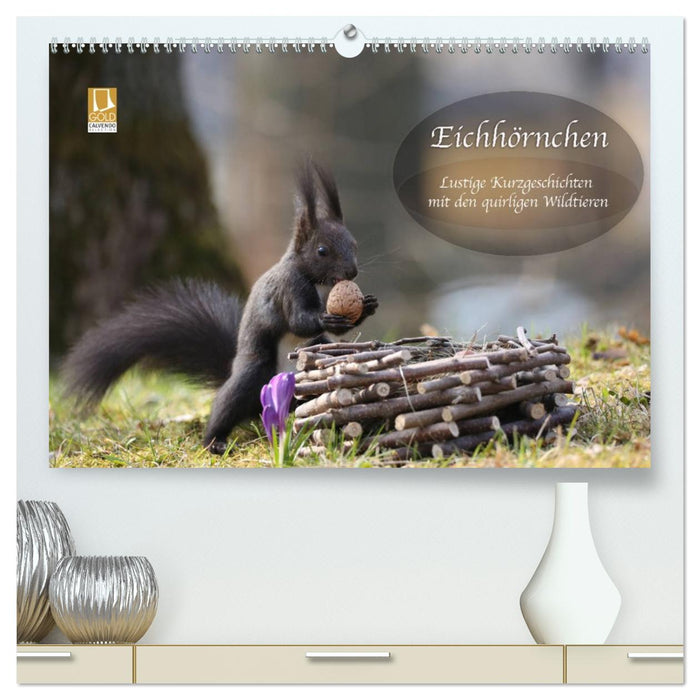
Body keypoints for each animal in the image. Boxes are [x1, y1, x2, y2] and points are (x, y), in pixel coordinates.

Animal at [62, 159, 378, 454]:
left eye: (354, 244)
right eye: (322, 250)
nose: (352, 272)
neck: (307, 275)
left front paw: (366, 307)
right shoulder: (287, 288)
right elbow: (299, 320)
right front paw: (329, 319)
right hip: (253, 373)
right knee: (227, 404)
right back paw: (214, 441)